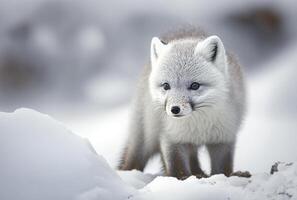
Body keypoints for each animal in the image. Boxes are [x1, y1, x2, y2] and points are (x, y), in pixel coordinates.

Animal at [118, 27, 245, 179]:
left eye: (195, 85)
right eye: (166, 86)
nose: (175, 109)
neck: (199, 124)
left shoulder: (223, 138)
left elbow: (222, 169)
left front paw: (223, 176)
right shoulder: (171, 138)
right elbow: (177, 167)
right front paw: (182, 179)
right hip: (145, 137)